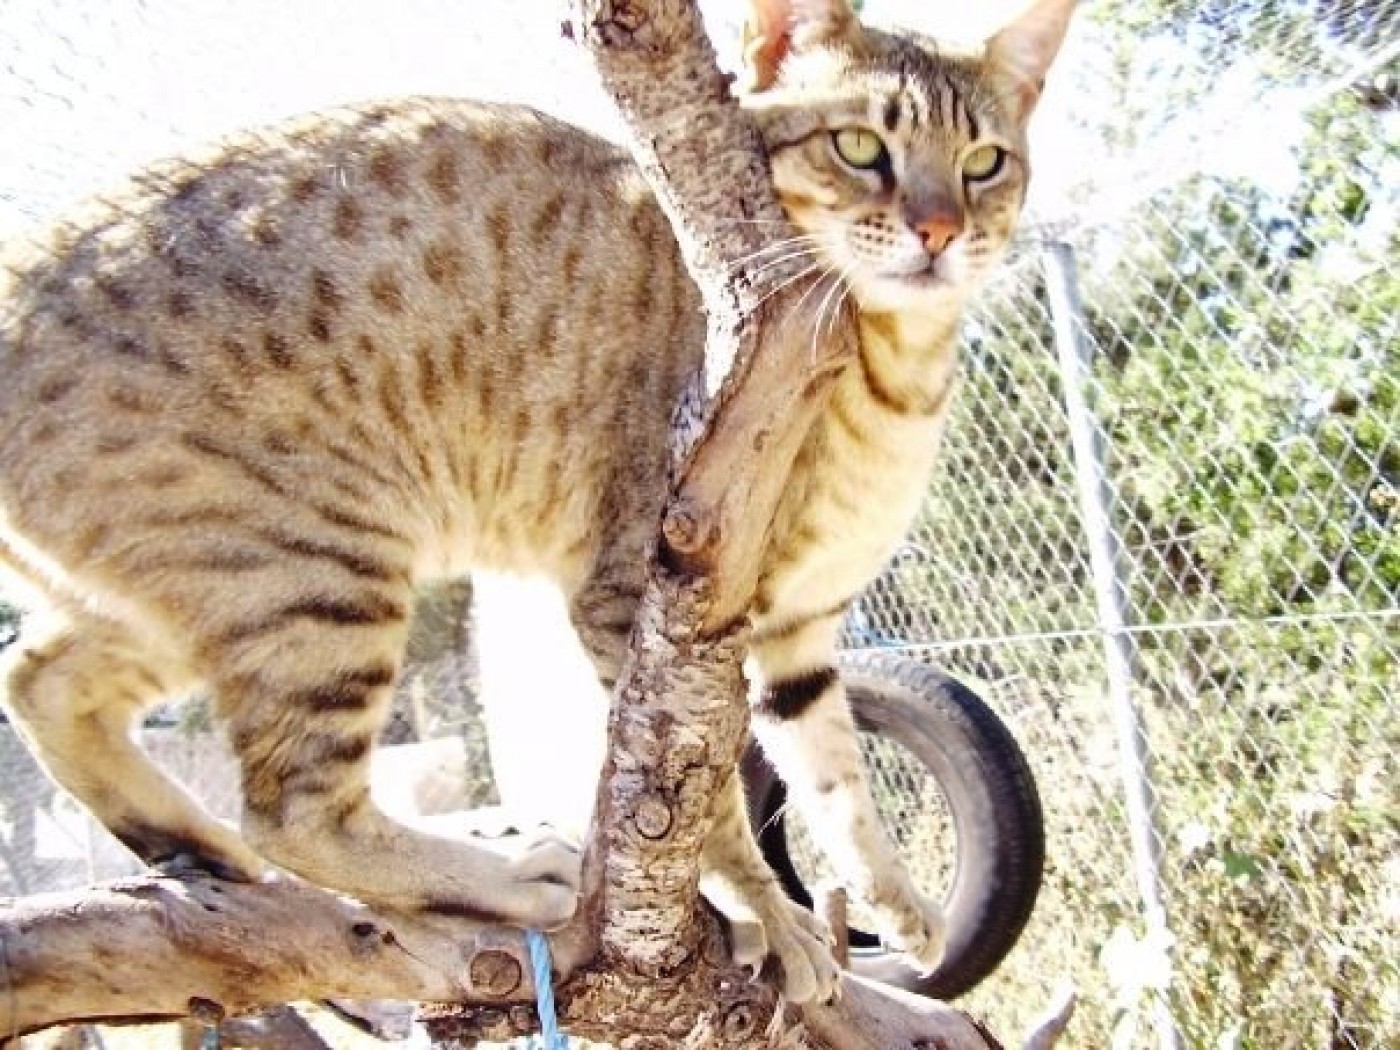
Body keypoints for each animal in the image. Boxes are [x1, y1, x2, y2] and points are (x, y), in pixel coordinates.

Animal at [0, 0, 1069, 1008]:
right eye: (859, 146)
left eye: (983, 162)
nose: (938, 232)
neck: (899, 377)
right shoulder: (660, 591)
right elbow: (702, 797)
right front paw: (768, 913)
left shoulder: (797, 632)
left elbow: (835, 775)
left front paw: (897, 904)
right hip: (319, 567)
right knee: (289, 809)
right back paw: (505, 872)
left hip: (199, 587)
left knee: (39, 676)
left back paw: (190, 844)